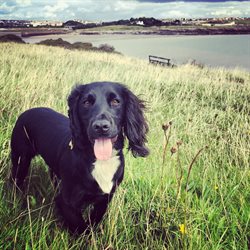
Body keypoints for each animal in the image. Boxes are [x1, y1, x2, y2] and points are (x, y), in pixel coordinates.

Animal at [10, 82, 148, 234]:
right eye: (86, 102)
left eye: (115, 101)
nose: (101, 126)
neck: (99, 160)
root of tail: (27, 111)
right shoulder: (67, 201)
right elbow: (81, 226)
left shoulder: (105, 198)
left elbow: (94, 220)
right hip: (21, 159)